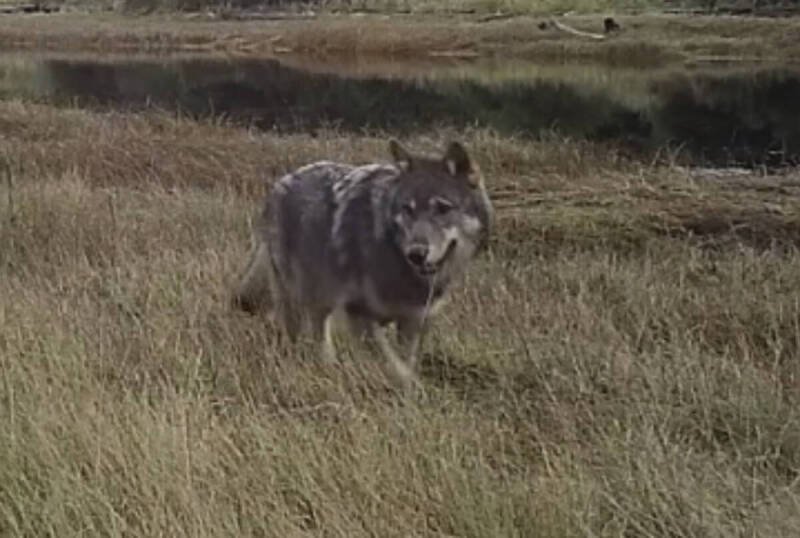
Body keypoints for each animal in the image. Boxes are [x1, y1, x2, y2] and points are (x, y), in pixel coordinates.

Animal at [233, 139, 493, 388]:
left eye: (442, 208)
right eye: (408, 209)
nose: (416, 254)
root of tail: (281, 181)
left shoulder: (413, 322)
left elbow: (405, 363)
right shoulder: (359, 315)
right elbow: (395, 368)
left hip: (319, 299)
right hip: (298, 297)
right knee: (302, 334)